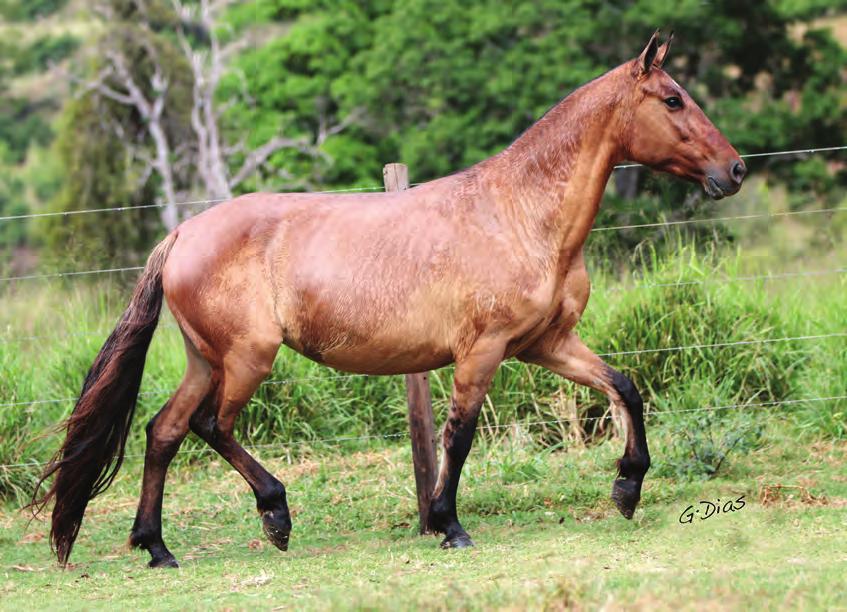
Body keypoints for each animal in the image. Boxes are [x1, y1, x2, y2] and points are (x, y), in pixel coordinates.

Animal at [31, 32, 744, 568]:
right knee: (212, 426)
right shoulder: (482, 351)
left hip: (206, 358)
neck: (518, 217)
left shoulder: (547, 344)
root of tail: (181, 234)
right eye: (673, 99)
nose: (734, 171)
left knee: (165, 431)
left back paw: (158, 548)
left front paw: (627, 487)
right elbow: (459, 435)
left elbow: (624, 386)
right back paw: (275, 515)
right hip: (247, 357)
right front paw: (447, 524)